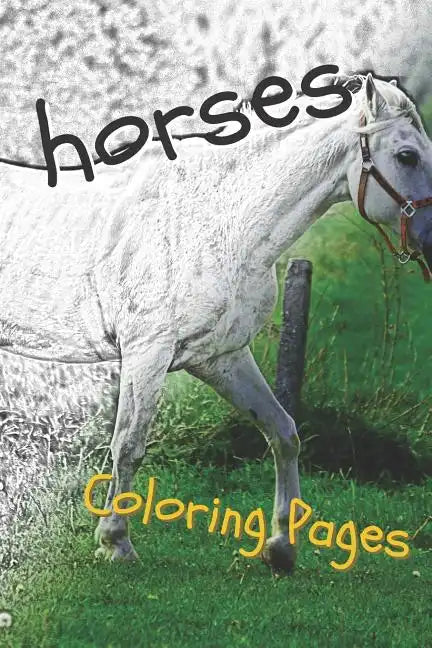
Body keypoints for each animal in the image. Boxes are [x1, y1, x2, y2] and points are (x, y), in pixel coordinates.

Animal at [1, 72, 432, 573]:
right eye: (407, 155)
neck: (215, 221)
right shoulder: (148, 354)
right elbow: (129, 445)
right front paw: (115, 542)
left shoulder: (220, 356)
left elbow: (283, 431)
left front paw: (281, 548)